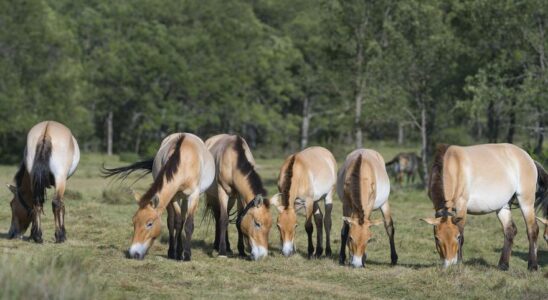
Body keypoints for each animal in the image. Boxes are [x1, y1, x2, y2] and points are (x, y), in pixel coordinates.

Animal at [420, 143, 548, 270]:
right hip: (503, 206)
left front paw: (459, 263)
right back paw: (503, 265)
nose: (449, 263)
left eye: (457, 237)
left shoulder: (462, 206)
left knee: (532, 229)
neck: (453, 166)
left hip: (526, 202)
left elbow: (462, 232)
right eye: (437, 238)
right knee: (509, 230)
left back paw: (532, 266)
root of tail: (529, 159)